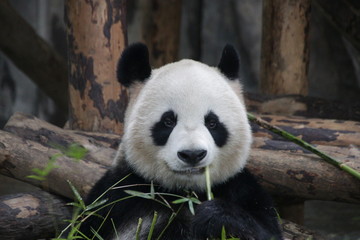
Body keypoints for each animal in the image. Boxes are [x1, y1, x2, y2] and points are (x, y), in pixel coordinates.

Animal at [79, 43, 284, 240]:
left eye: (212, 122)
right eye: (168, 121)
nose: (192, 154)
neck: (185, 192)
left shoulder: (241, 189)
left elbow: (265, 230)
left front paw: (213, 215)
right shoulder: (118, 195)